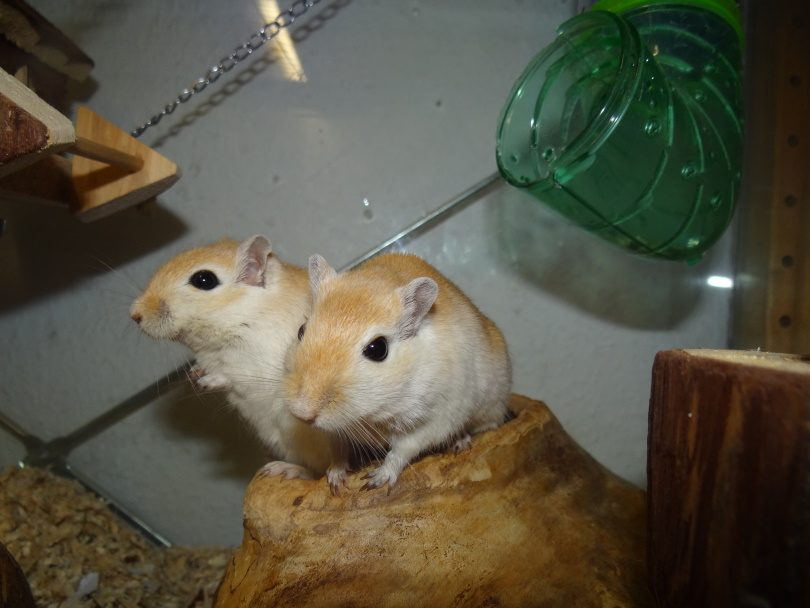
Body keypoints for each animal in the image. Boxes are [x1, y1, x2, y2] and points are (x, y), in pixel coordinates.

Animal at [130, 235, 331, 479]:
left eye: (204, 279)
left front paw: (206, 382)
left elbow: (234, 377)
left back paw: (282, 469)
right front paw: (194, 374)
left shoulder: (259, 368)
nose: (134, 314)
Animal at [285, 252, 512, 492]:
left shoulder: (433, 420)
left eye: (378, 349)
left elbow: (402, 450)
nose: (301, 413)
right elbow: (337, 451)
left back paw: (461, 442)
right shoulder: (334, 432)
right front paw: (335, 479)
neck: (370, 417)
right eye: (301, 331)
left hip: (491, 407)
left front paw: (375, 481)